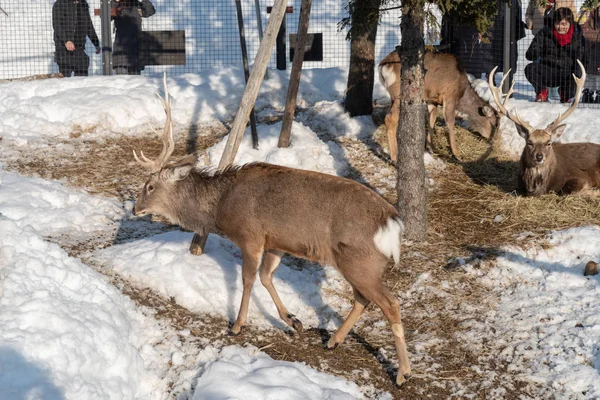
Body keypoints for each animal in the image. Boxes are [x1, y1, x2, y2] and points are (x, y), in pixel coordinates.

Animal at [131, 75, 412, 384]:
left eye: (150, 186)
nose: (134, 209)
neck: (220, 207)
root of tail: (391, 222)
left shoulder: (250, 236)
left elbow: (248, 279)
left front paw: (237, 325)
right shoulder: (276, 242)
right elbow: (266, 276)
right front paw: (293, 320)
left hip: (360, 259)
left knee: (390, 303)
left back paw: (403, 373)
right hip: (358, 262)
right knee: (363, 298)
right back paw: (332, 341)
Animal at [488, 60, 600, 196]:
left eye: (549, 143)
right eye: (529, 142)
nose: (539, 156)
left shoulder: (580, 177)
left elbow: (567, 190)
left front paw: (592, 192)